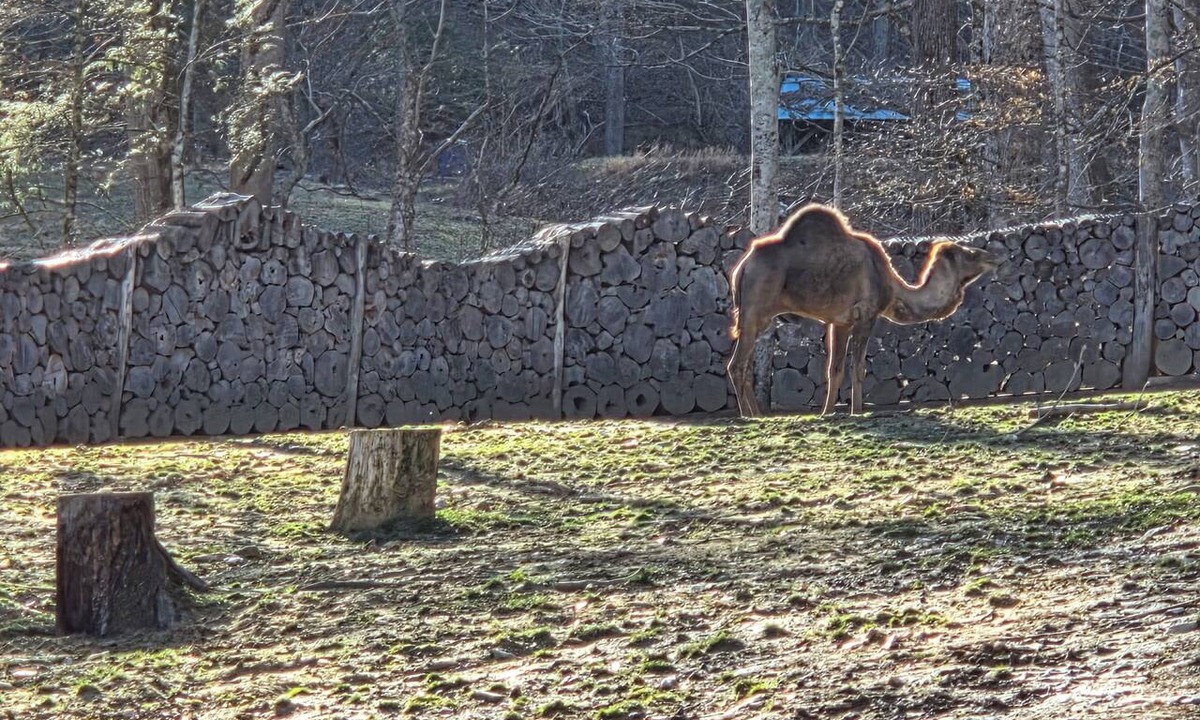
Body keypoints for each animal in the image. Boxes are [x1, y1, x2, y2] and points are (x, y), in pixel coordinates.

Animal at [726, 204, 999, 416]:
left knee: (746, 364)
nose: (993, 257)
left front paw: (827, 413)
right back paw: (748, 416)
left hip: (755, 316)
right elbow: (858, 368)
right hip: (755, 310)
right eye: (970, 253)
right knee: (736, 364)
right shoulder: (866, 314)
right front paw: (856, 411)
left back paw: (757, 414)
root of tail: (743, 266)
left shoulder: (840, 321)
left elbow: (834, 370)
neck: (891, 285)